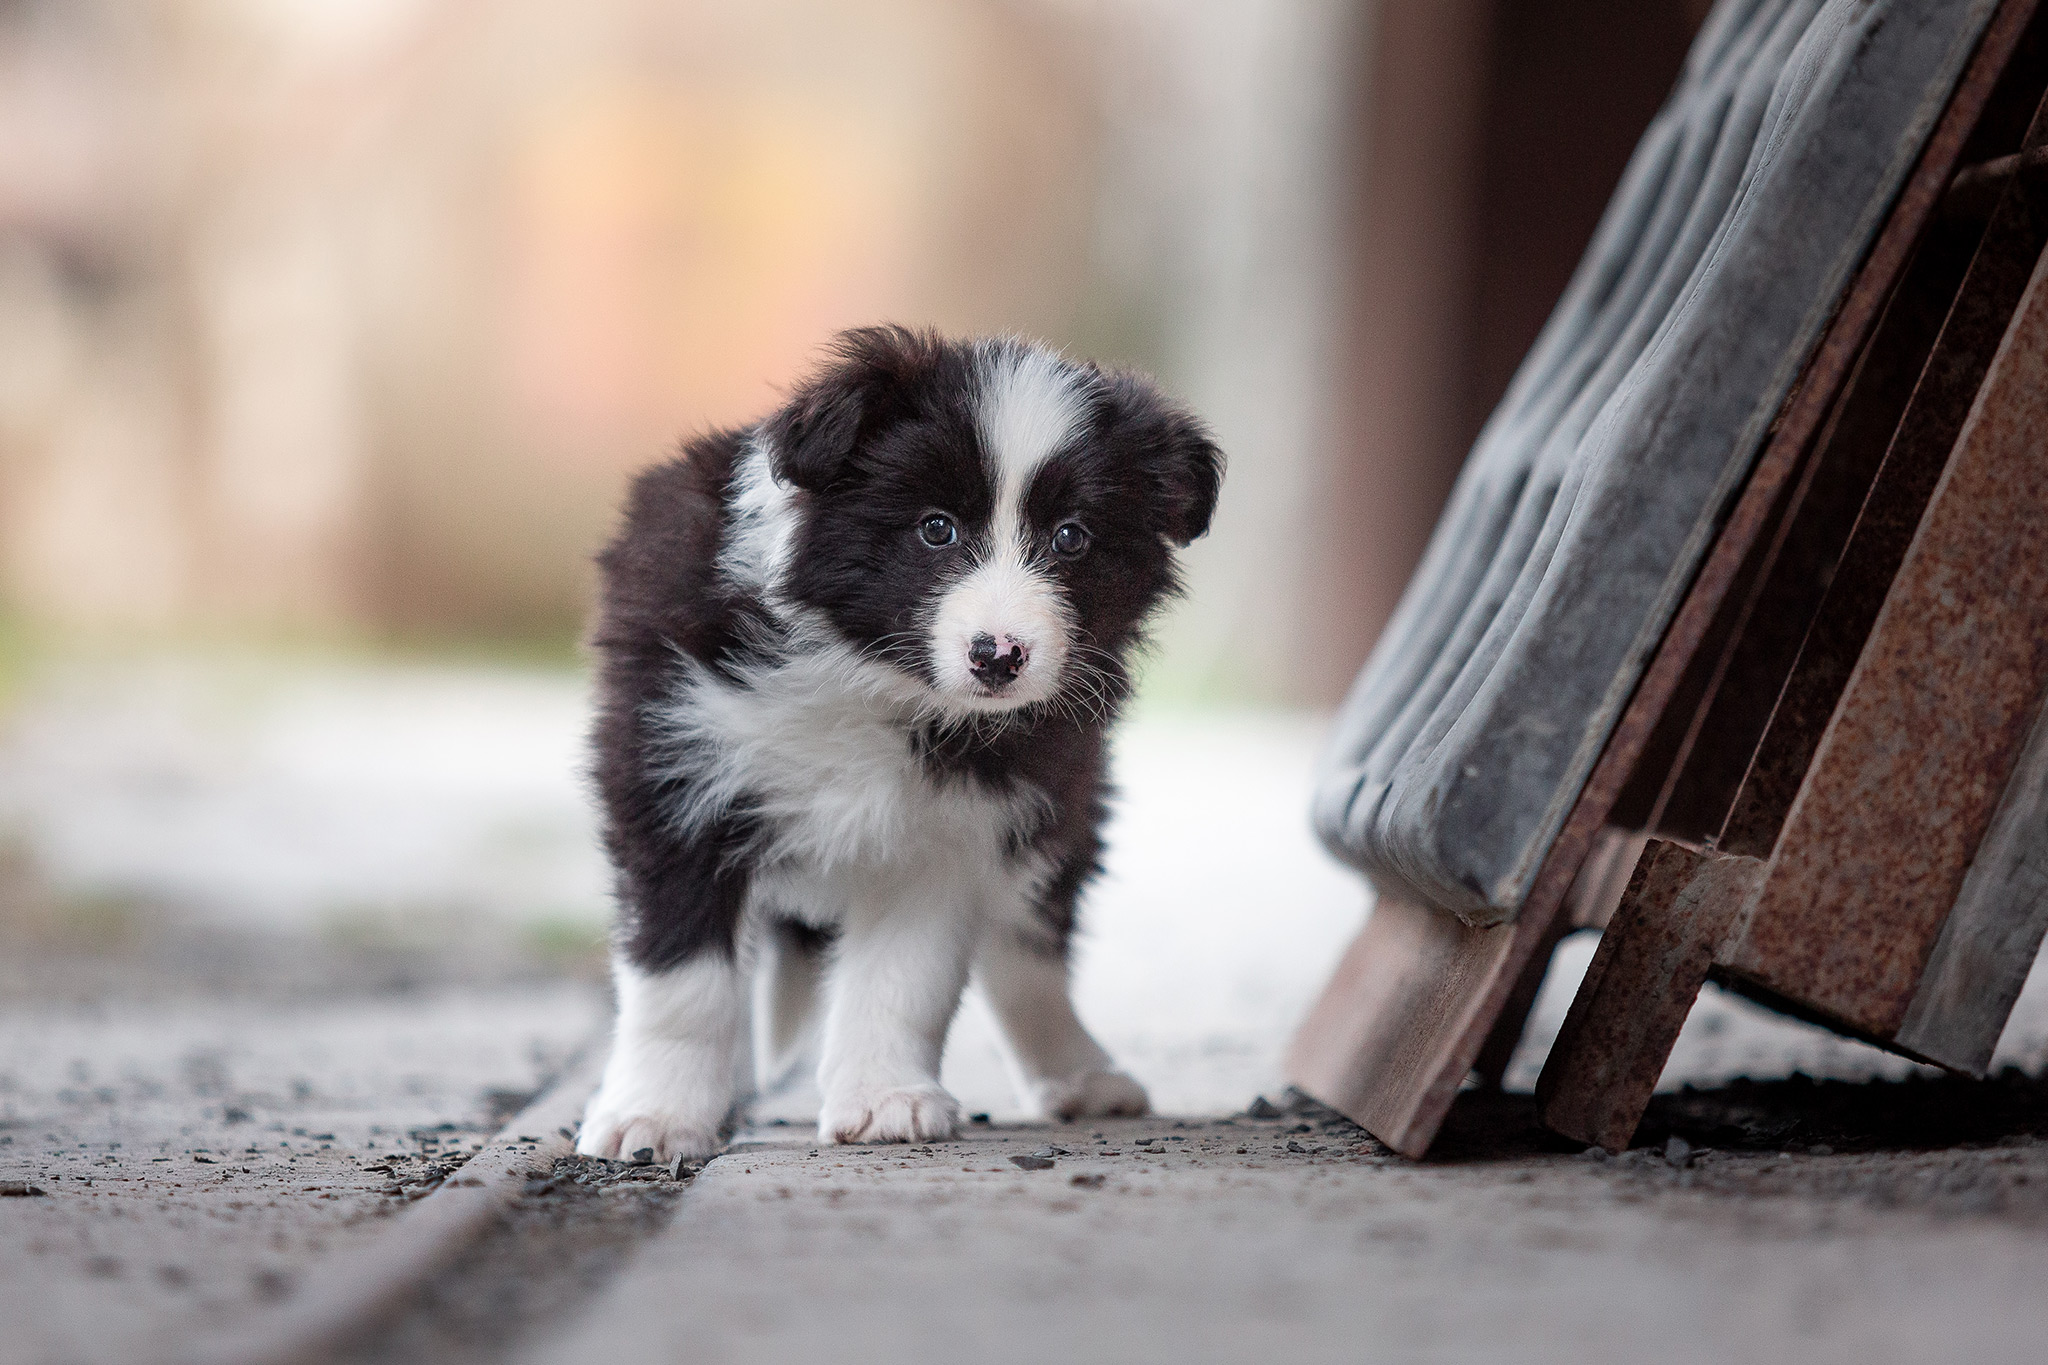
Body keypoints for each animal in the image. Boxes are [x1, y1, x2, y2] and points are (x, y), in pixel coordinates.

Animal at [573, 325, 1212, 1162]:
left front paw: (884, 1100)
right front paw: (654, 1115)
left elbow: (905, 973)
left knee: (1027, 946)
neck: (871, 677)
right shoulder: (673, 771)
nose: (999, 655)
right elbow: (680, 977)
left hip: (1063, 795)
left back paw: (1079, 1073)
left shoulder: (953, 825)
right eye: (935, 527)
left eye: (1072, 538)